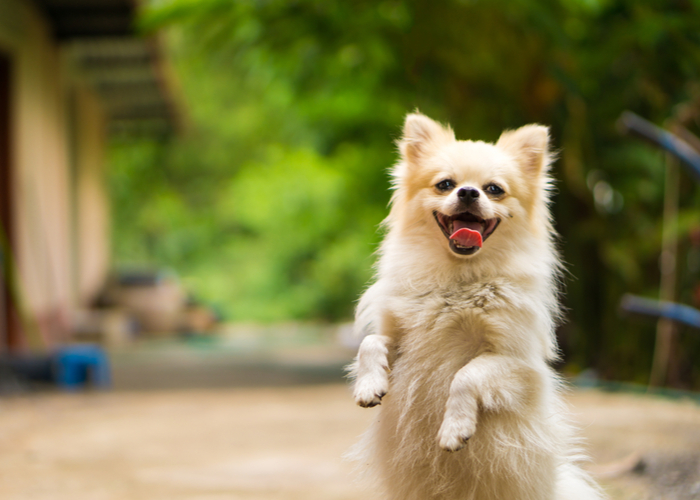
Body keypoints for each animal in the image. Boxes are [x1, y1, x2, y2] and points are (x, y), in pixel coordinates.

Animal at [348, 113, 600, 500]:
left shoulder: (515, 364)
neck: (459, 279)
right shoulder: (402, 339)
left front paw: (455, 429)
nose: (468, 192)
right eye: (445, 184)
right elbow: (371, 342)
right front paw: (368, 385)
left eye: (494, 189)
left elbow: (466, 375)